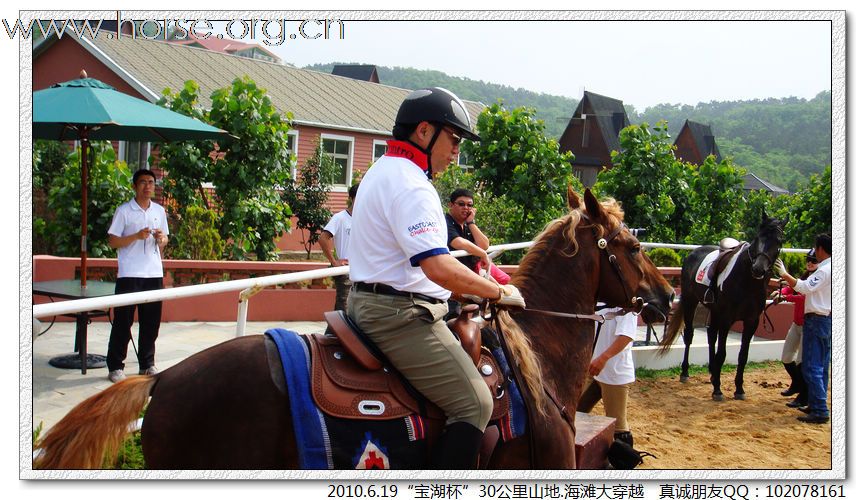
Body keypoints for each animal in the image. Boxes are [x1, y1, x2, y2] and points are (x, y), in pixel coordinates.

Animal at [660, 213, 788, 400]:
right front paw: (718, 390)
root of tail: (694, 252)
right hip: (691, 302)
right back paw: (685, 372)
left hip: (714, 311)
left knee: (711, 336)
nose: (758, 269)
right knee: (689, 335)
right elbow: (722, 353)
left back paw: (713, 373)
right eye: (759, 237)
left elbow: (743, 355)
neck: (747, 281)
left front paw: (739, 389)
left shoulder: (751, 321)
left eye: (779, 241)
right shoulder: (727, 319)